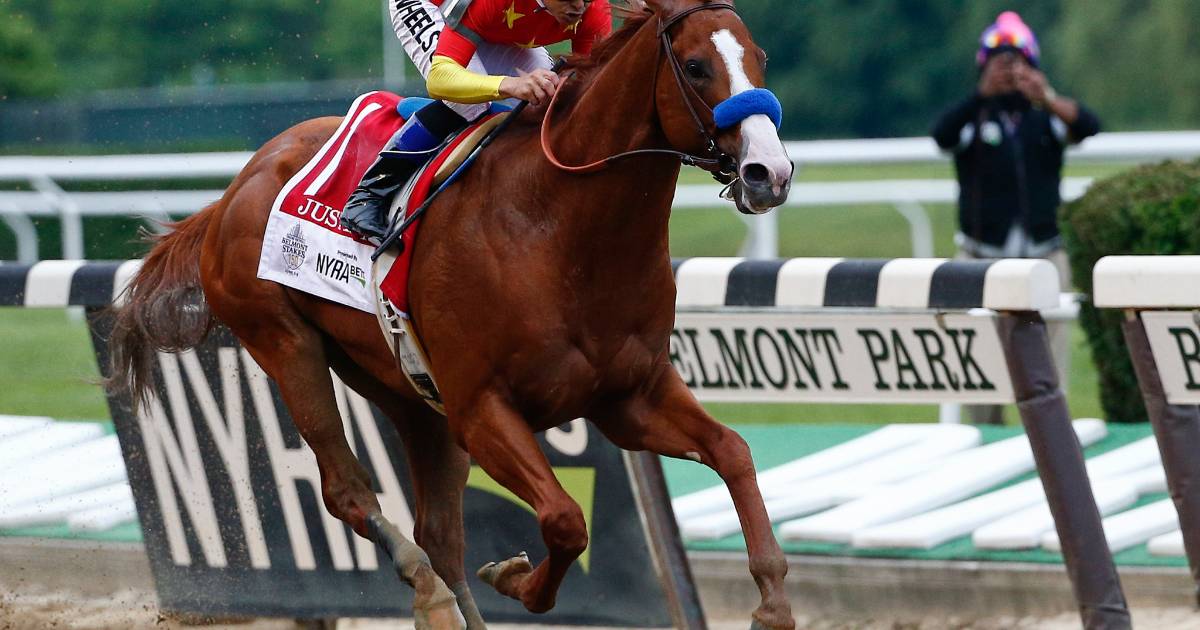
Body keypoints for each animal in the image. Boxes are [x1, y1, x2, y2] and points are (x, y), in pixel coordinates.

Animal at [107, 0, 795, 627]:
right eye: (696, 66)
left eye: (761, 58)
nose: (771, 172)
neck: (559, 228)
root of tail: (232, 190)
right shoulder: (482, 408)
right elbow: (565, 520)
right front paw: (513, 577)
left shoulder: (629, 394)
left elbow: (733, 451)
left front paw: (772, 602)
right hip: (284, 343)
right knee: (348, 490)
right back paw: (429, 593)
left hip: (402, 385)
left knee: (439, 530)